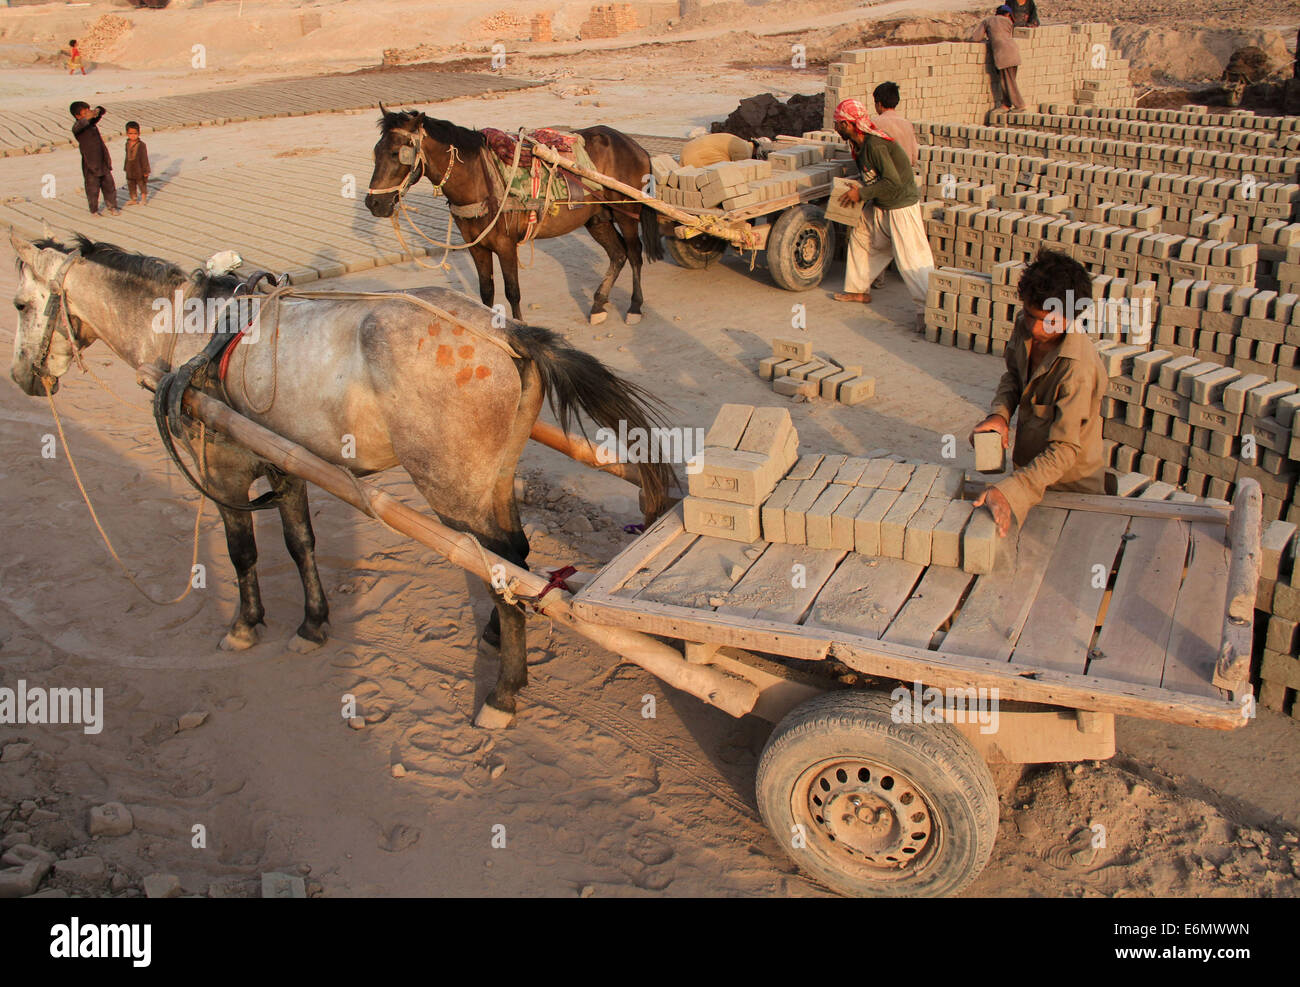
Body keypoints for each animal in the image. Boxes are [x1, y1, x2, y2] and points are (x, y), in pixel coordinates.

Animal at [10, 230, 676, 728]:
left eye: (17, 305)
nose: (22, 378)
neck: (191, 333)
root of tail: (507, 333)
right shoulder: (286, 465)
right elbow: (298, 543)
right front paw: (312, 623)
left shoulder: (222, 469)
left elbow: (241, 551)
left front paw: (245, 625)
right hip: (488, 481)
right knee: (513, 559)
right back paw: (495, 632)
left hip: (453, 490)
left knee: (500, 563)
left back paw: (504, 693)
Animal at [364, 109, 660, 323]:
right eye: (375, 152)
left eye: (397, 153)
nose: (373, 203)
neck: (479, 178)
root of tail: (633, 144)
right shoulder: (477, 247)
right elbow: (486, 291)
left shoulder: (505, 245)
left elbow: (512, 291)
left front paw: (518, 326)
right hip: (597, 218)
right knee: (617, 254)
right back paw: (598, 304)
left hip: (627, 213)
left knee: (634, 254)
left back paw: (634, 307)